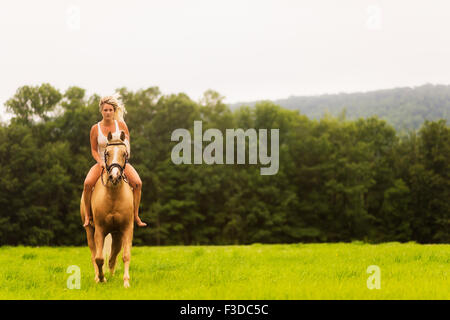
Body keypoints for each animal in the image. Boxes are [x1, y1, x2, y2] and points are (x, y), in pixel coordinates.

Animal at [80, 130, 134, 288]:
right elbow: (98, 258)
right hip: (90, 230)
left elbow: (125, 255)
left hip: (116, 234)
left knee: (113, 256)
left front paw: (126, 282)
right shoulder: (100, 230)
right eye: (107, 153)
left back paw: (112, 275)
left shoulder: (126, 228)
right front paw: (101, 278)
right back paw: (98, 277)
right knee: (94, 254)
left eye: (124, 153)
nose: (114, 176)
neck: (113, 195)